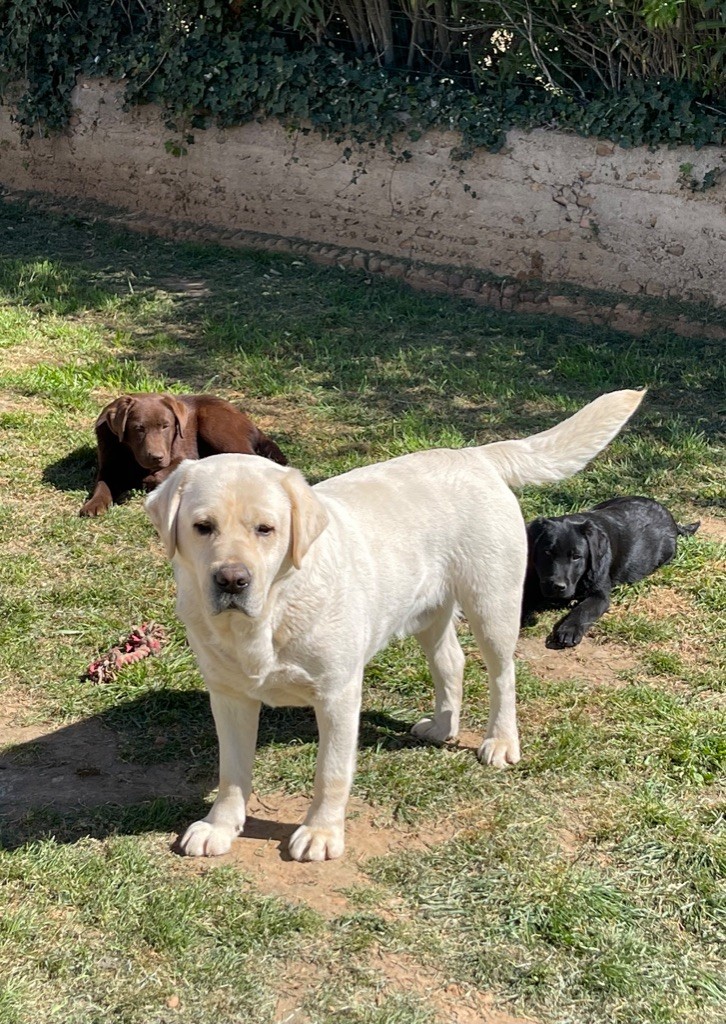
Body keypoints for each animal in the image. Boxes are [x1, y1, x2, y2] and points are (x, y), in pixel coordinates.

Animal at [145, 387, 638, 860]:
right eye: (202, 526)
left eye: (266, 529)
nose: (232, 580)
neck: (270, 615)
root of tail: (475, 455)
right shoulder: (229, 696)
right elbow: (232, 772)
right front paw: (220, 827)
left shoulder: (338, 694)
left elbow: (330, 772)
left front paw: (321, 833)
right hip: (428, 612)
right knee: (451, 662)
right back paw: (442, 727)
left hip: (492, 604)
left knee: (503, 675)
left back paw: (500, 741)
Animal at [524, 495, 700, 647]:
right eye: (547, 552)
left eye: (576, 557)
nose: (558, 586)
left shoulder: (600, 595)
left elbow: (584, 609)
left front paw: (569, 629)